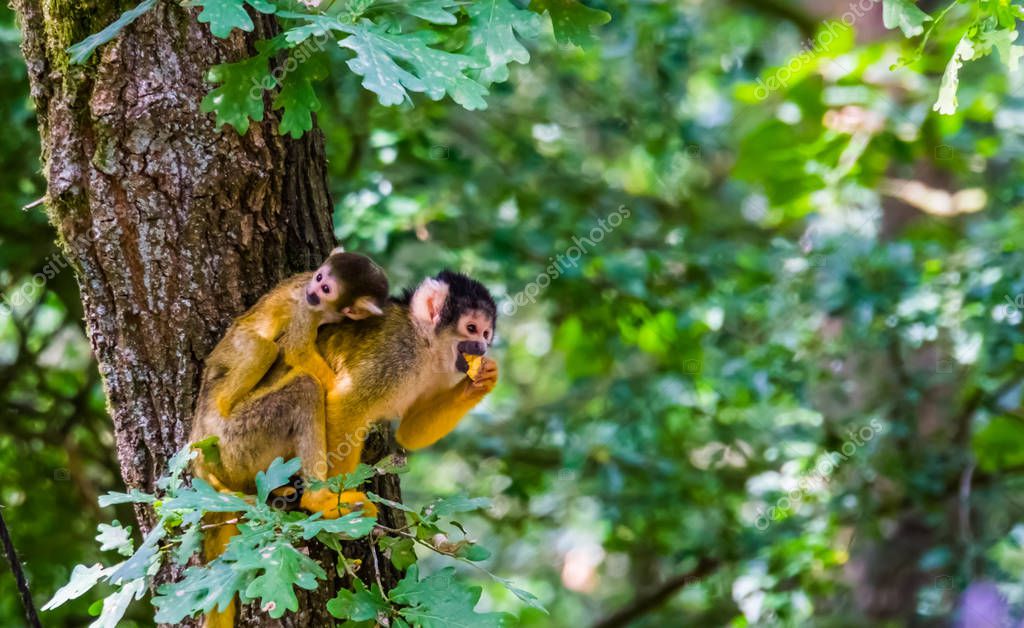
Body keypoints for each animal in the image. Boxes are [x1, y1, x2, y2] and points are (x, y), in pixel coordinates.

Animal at [203, 246, 387, 417]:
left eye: (325, 288)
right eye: (319, 277)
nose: (311, 291)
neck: (327, 310)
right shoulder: (306, 308)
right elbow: (298, 351)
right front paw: (337, 390)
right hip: (233, 342)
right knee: (264, 350)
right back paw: (224, 404)